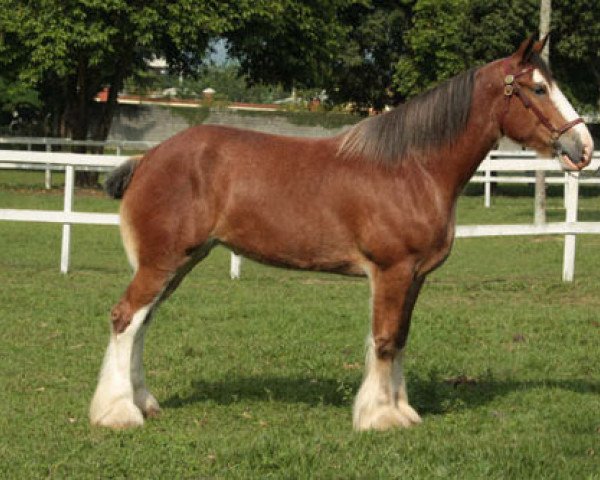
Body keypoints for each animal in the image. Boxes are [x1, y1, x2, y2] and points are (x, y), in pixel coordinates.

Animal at [91, 35, 592, 430]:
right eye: (538, 87)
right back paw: (118, 414)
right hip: (163, 261)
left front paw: (402, 411)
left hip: (179, 263)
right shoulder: (392, 272)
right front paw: (381, 417)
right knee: (124, 318)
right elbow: (384, 341)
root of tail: (148, 159)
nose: (582, 147)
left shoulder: (414, 277)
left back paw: (143, 404)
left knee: (141, 324)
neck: (412, 169)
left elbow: (400, 338)